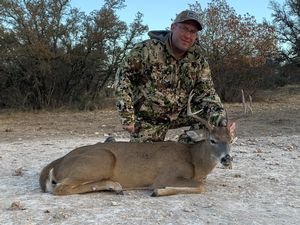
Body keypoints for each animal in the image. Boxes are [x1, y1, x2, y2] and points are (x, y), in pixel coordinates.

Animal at [38, 90, 233, 196]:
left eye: (231, 140)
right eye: (212, 140)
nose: (227, 159)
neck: (193, 159)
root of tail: (58, 162)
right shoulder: (166, 175)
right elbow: (200, 187)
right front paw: (157, 192)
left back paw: (114, 187)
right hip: (100, 160)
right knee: (60, 188)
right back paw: (115, 186)